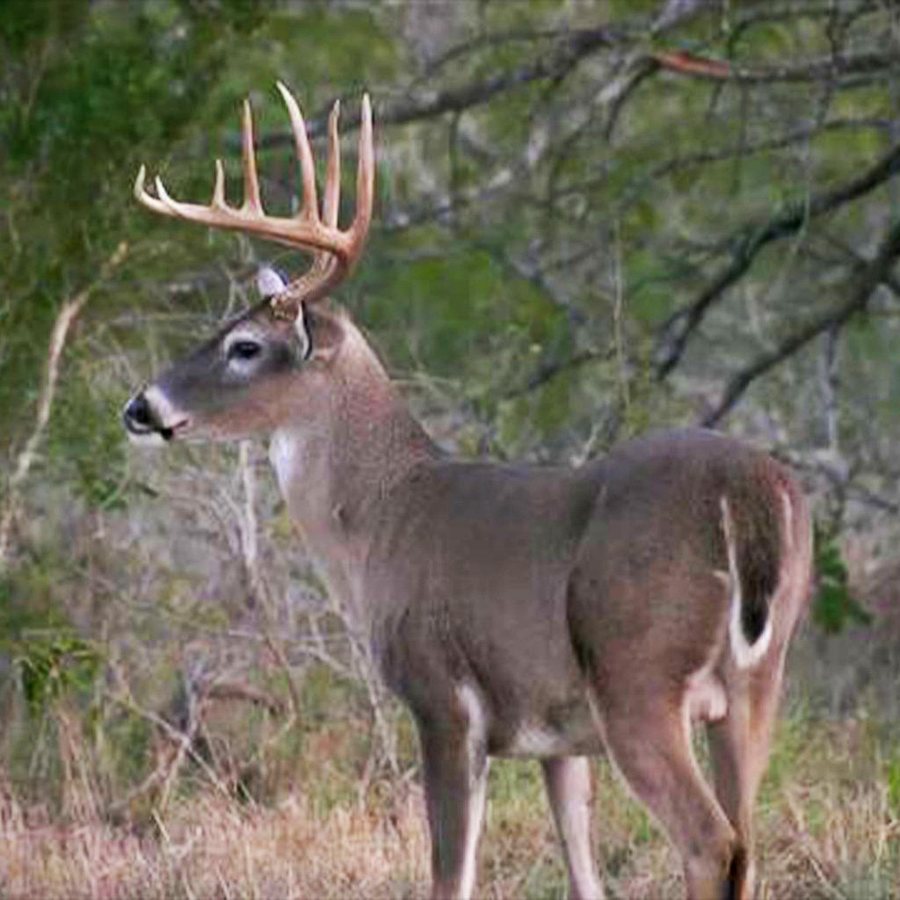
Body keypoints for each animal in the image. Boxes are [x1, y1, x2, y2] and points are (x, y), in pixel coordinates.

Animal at [123, 82, 813, 900]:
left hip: (637, 673)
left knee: (711, 841)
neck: (382, 521)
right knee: (747, 840)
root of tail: (750, 488)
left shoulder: (443, 700)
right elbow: (582, 869)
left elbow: (451, 873)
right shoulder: (557, 732)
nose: (142, 406)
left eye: (245, 347)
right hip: (756, 684)